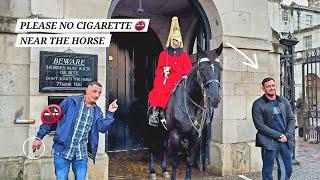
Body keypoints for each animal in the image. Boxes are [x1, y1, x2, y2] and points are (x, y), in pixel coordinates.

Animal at [148, 49, 222, 180]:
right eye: (202, 69)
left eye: (220, 68)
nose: (214, 99)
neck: (191, 104)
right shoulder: (175, 134)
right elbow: (175, 162)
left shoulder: (195, 136)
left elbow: (189, 161)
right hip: (154, 129)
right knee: (152, 147)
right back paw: (152, 172)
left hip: (165, 131)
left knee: (163, 147)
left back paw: (164, 170)